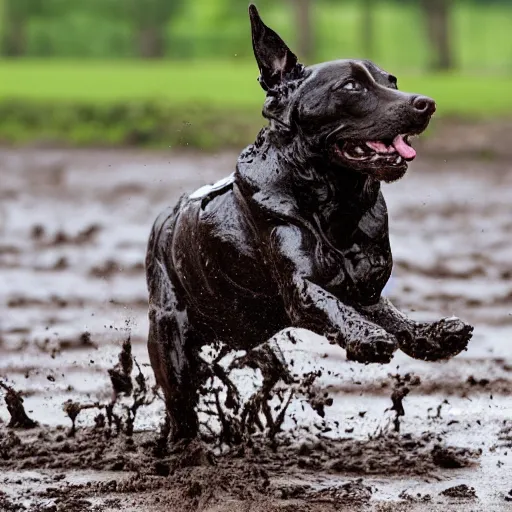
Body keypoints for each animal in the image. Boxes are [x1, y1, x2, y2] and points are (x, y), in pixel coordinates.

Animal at [144, 4, 472, 440]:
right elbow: (331, 305)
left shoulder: (364, 288)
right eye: (351, 87)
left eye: (391, 80)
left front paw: (431, 335)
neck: (335, 205)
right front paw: (367, 337)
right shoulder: (300, 286)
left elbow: (394, 319)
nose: (427, 103)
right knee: (182, 414)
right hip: (172, 343)